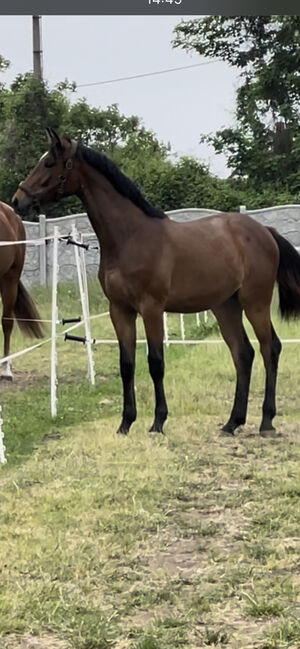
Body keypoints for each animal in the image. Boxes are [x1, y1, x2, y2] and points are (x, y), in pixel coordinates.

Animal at [12, 130, 300, 436]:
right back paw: (232, 422)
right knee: (243, 354)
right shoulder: (120, 310)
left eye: (49, 163)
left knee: (270, 348)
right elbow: (127, 364)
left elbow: (155, 362)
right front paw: (125, 423)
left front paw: (158, 422)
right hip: (225, 306)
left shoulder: (151, 309)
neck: (131, 237)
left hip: (255, 303)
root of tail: (265, 232)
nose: (18, 200)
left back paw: (266, 420)